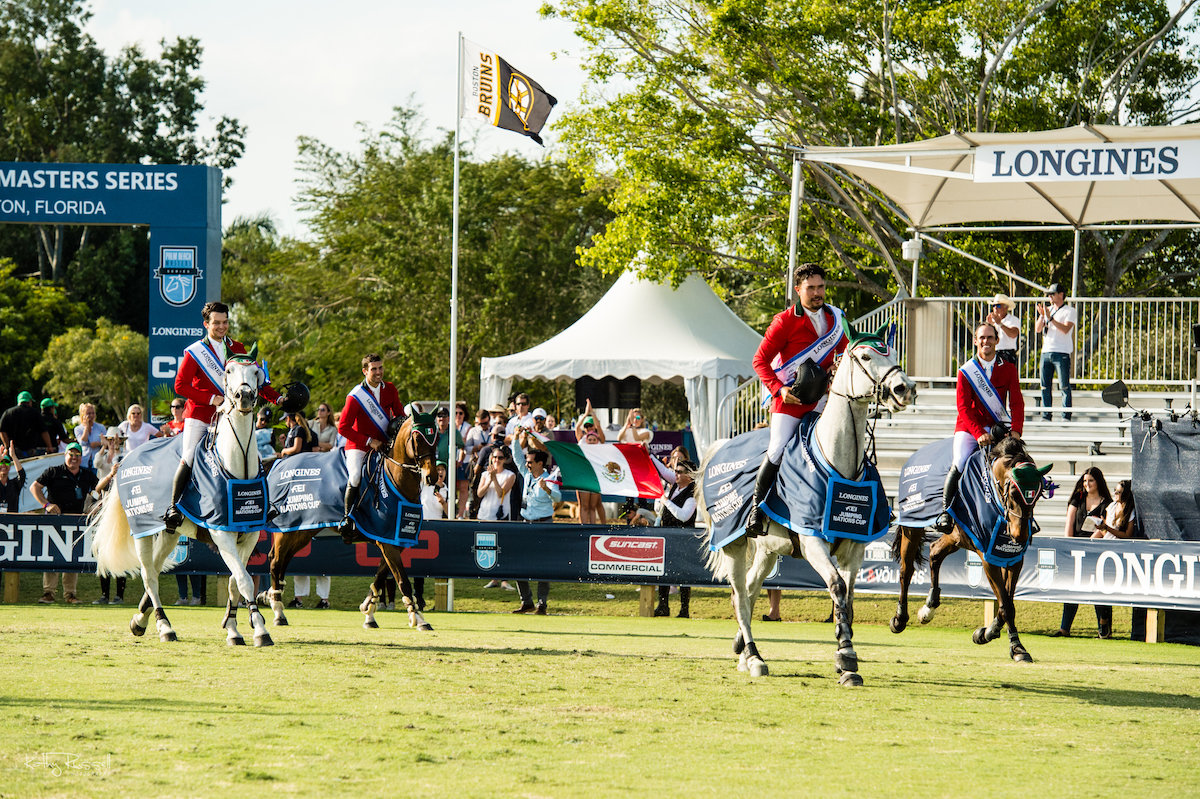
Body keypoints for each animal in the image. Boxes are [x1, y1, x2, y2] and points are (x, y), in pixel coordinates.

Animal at [91, 355, 276, 647]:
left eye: (257, 373)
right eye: (228, 371)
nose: (244, 396)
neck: (238, 467)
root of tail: (126, 458)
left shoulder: (249, 535)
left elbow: (235, 582)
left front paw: (233, 629)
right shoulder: (221, 534)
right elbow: (244, 581)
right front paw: (259, 629)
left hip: (170, 532)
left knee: (155, 569)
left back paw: (140, 620)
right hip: (142, 531)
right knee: (149, 575)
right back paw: (164, 626)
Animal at [255, 410, 439, 628]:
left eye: (436, 437)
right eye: (418, 438)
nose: (432, 477)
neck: (394, 479)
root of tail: (279, 462)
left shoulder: (393, 539)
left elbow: (380, 576)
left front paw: (369, 611)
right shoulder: (388, 543)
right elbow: (402, 580)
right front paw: (418, 618)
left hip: (301, 530)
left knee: (282, 560)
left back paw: (271, 598)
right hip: (287, 529)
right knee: (276, 562)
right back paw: (278, 612)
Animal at [700, 316, 912, 686]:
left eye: (893, 354)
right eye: (866, 357)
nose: (904, 389)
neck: (839, 462)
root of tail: (721, 447)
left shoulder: (855, 548)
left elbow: (849, 599)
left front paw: (846, 657)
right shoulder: (813, 541)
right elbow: (837, 587)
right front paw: (847, 658)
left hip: (768, 550)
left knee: (751, 589)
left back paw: (742, 650)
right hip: (733, 544)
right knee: (739, 595)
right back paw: (753, 657)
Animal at [892, 436, 1051, 657]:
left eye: (1037, 495)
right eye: (1012, 493)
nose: (1020, 536)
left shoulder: (1012, 558)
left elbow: (1007, 601)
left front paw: (987, 633)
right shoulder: (988, 558)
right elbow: (1006, 605)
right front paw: (1016, 647)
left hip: (956, 536)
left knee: (935, 552)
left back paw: (929, 607)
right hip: (912, 525)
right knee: (906, 571)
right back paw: (900, 619)